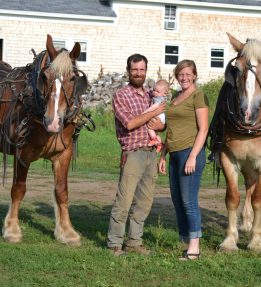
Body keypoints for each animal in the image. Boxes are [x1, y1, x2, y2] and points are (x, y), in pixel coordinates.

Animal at [0, 34, 91, 248]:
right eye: (44, 77)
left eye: (73, 78)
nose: (53, 121)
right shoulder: (21, 153)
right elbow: (18, 189)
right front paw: (12, 229)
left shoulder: (63, 154)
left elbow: (61, 191)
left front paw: (66, 232)